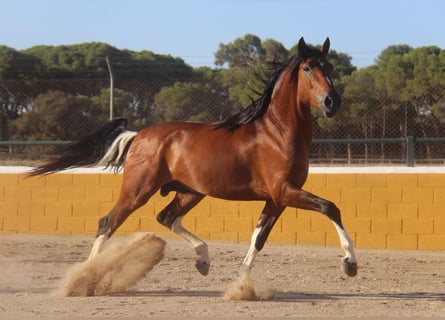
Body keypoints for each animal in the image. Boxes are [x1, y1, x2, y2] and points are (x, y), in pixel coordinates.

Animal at [29, 37, 358, 278]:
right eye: (307, 68)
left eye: (329, 65)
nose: (332, 101)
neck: (276, 133)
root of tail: (139, 135)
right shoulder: (285, 191)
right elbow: (330, 207)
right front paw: (350, 263)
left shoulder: (277, 198)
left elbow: (258, 238)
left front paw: (241, 284)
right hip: (138, 190)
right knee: (107, 222)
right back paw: (86, 276)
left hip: (190, 191)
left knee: (166, 217)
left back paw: (203, 260)